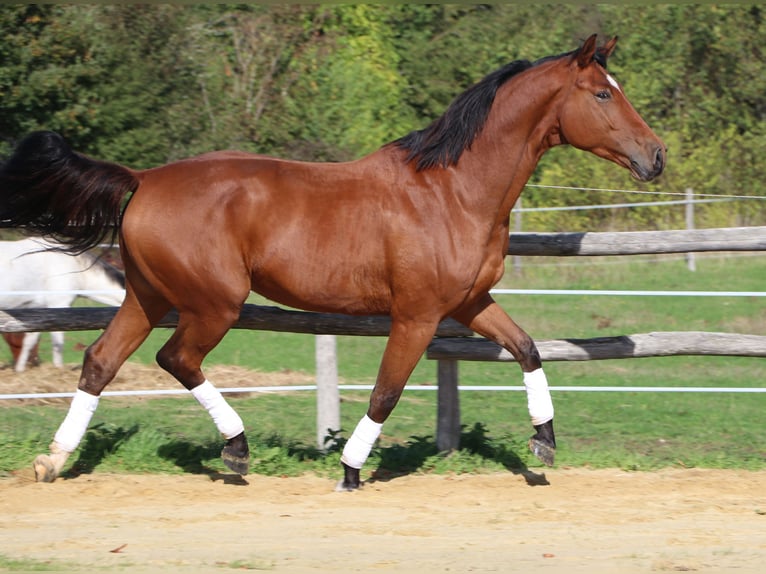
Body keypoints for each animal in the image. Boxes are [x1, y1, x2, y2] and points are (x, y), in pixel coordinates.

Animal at [0, 238, 125, 374]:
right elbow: (58, 343)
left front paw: (20, 370)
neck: (74, 267)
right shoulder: (58, 306)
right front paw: (58, 369)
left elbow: (29, 341)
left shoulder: (38, 311)